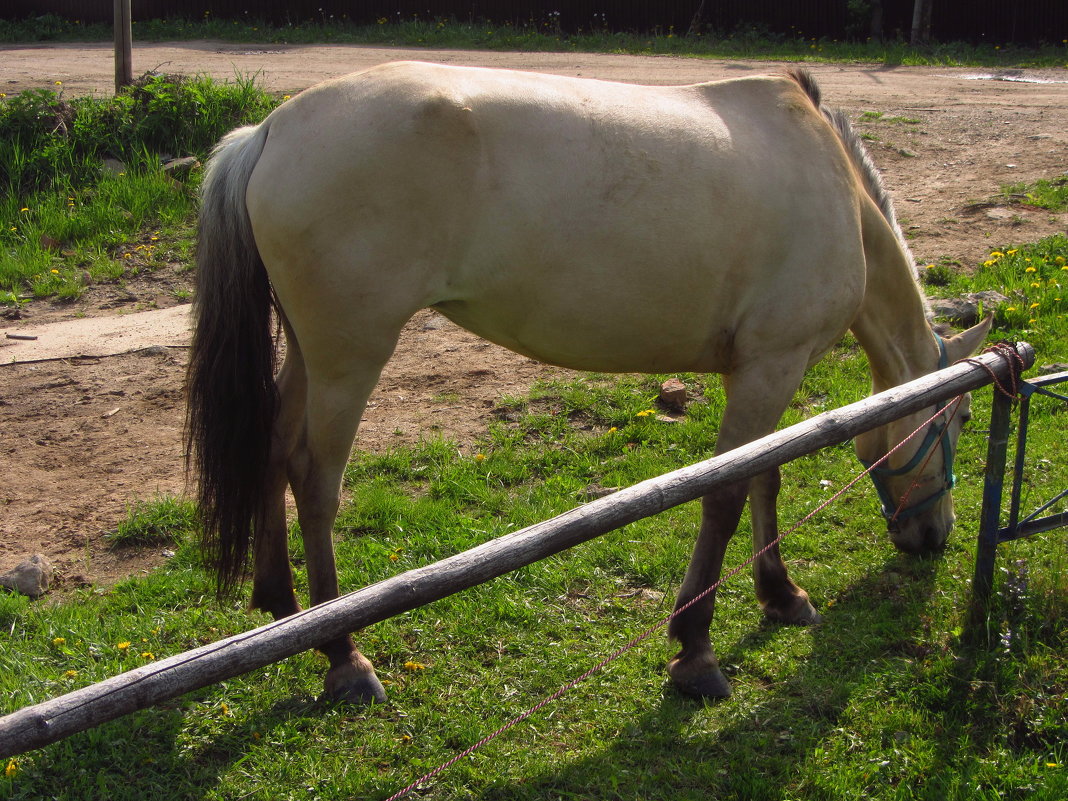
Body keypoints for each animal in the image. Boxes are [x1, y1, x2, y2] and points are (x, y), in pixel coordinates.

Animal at [185, 64, 991, 700]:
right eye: (956, 419)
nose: (935, 536)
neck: (835, 191)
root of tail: (269, 131)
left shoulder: (769, 367)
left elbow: (766, 476)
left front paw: (780, 594)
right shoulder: (771, 365)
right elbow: (727, 495)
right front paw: (695, 649)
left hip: (309, 351)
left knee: (272, 447)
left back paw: (283, 603)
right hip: (349, 357)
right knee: (314, 480)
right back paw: (342, 654)